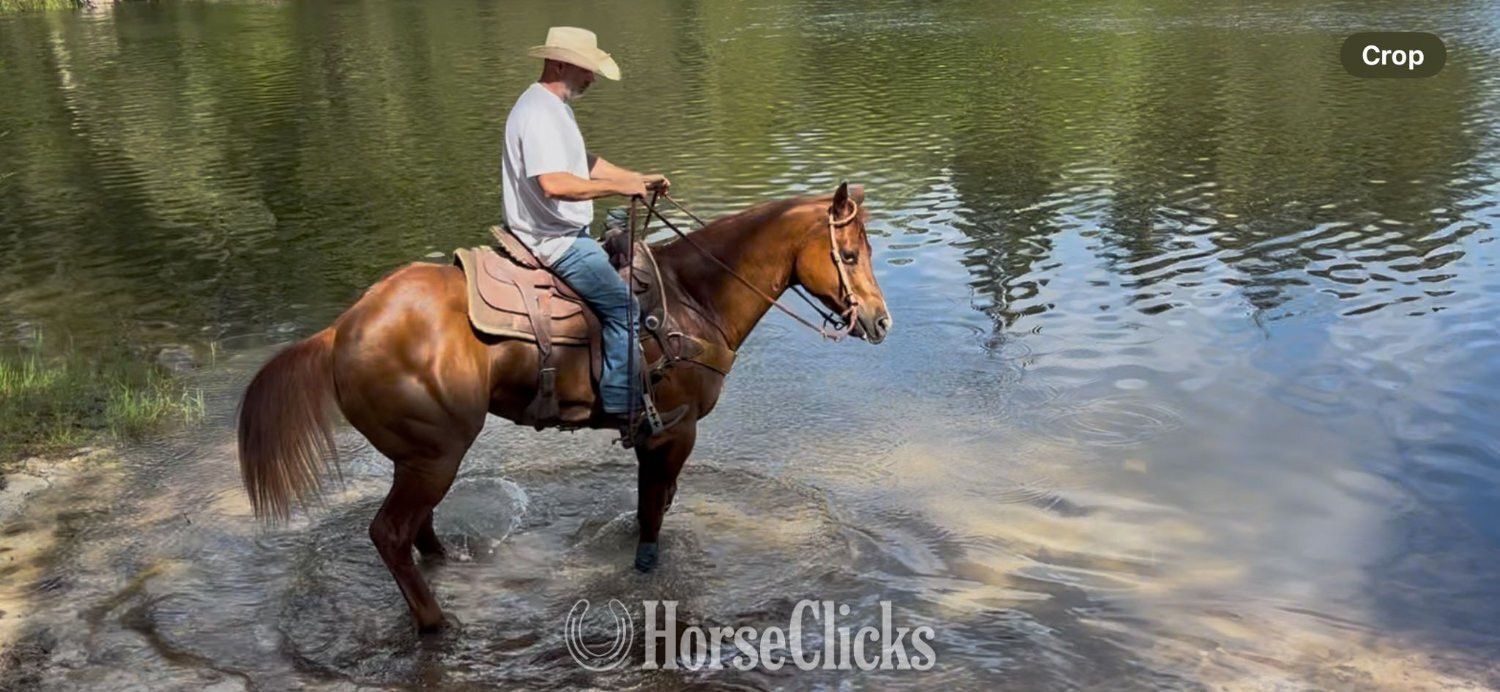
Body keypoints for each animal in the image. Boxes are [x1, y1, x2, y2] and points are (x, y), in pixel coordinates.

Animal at [236, 182, 893, 631]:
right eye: (850, 256)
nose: (881, 321)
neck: (693, 299)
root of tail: (339, 331)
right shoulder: (673, 432)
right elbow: (652, 514)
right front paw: (644, 566)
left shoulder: (656, 437)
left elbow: (654, 506)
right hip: (436, 455)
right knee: (390, 534)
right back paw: (436, 623)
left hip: (416, 457)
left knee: (416, 531)